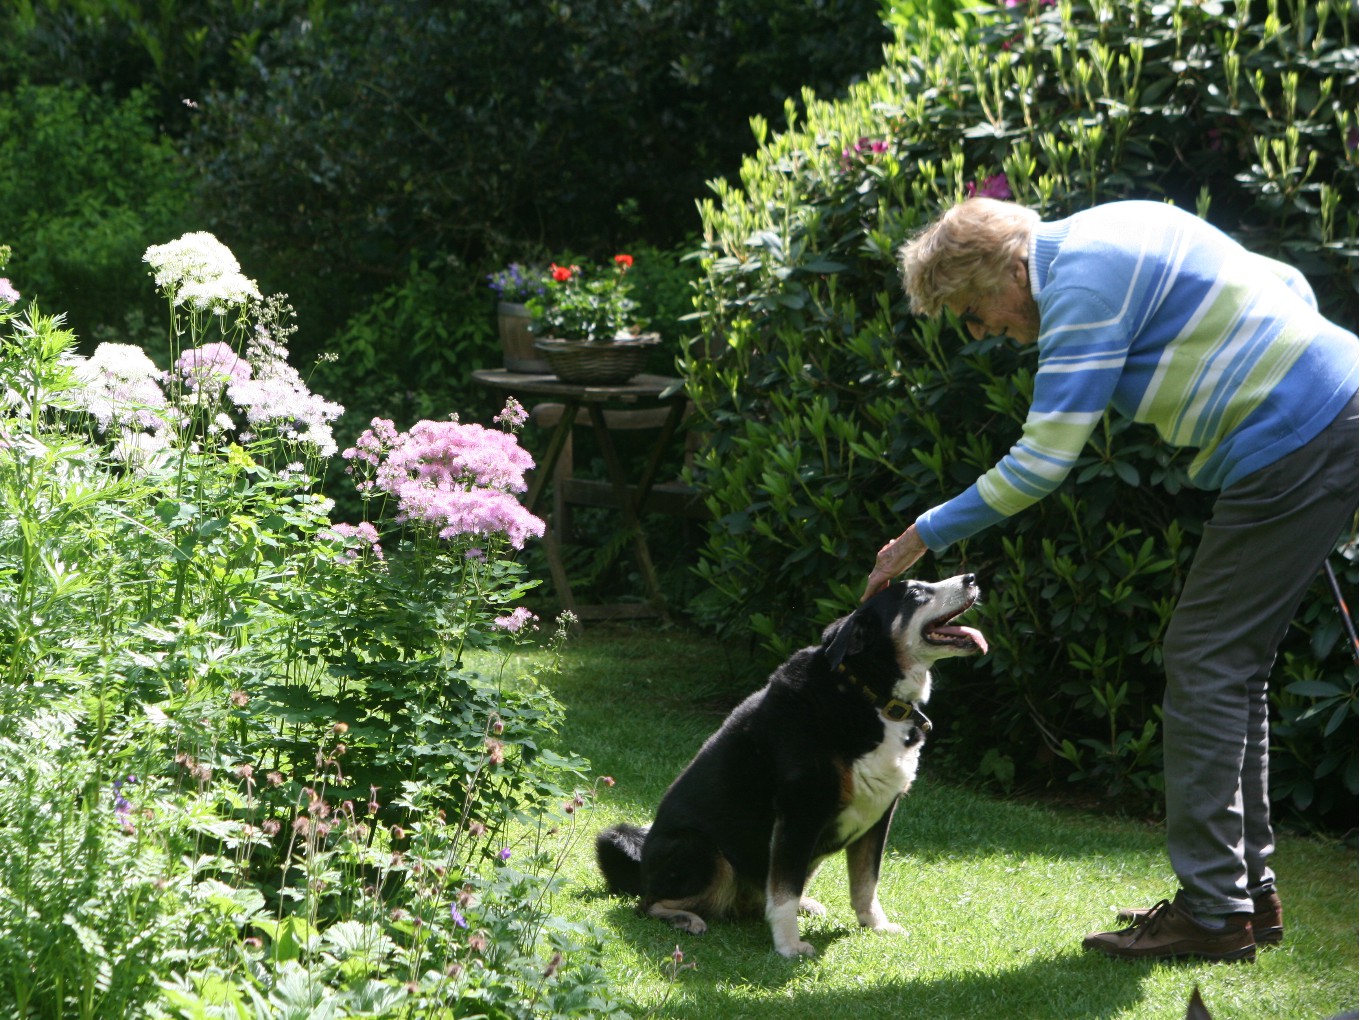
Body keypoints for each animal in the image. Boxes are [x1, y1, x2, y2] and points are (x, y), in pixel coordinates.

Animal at [595, 582, 990, 957]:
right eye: (915, 593)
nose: (971, 578)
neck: (868, 695)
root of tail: (642, 866)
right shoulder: (800, 812)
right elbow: (784, 891)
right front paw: (788, 945)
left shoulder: (879, 814)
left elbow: (865, 883)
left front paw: (875, 925)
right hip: (702, 849)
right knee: (647, 904)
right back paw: (685, 917)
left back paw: (804, 904)